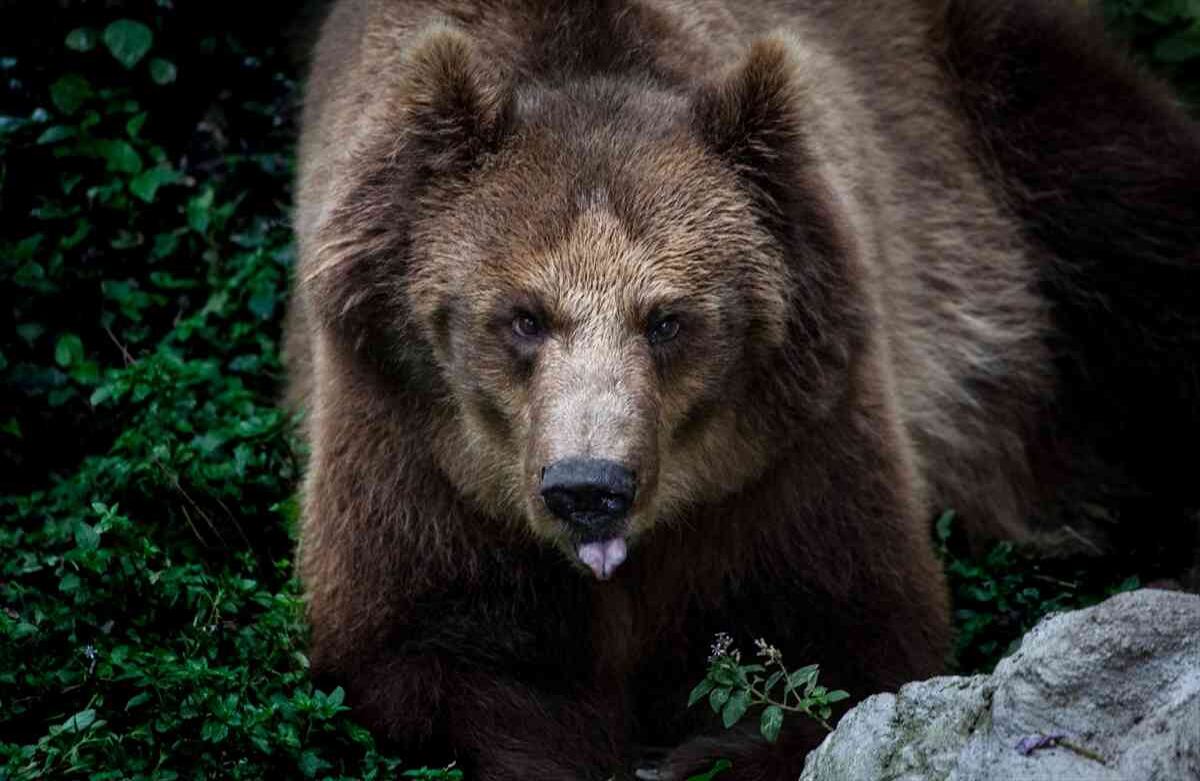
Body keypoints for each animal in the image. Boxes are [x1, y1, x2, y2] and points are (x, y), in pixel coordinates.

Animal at [284, 0, 1200, 778]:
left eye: (667, 318)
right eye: (523, 316)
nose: (589, 486)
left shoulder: (793, 447)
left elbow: (849, 632)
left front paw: (700, 749)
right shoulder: (414, 445)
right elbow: (421, 645)